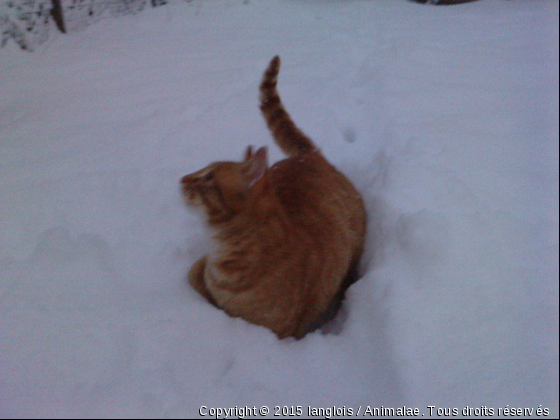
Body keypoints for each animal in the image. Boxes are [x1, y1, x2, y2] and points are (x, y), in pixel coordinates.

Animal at [180, 55, 368, 338]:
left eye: (209, 177)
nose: (182, 179)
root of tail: (309, 156)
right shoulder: (202, 267)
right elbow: (194, 277)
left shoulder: (278, 330)